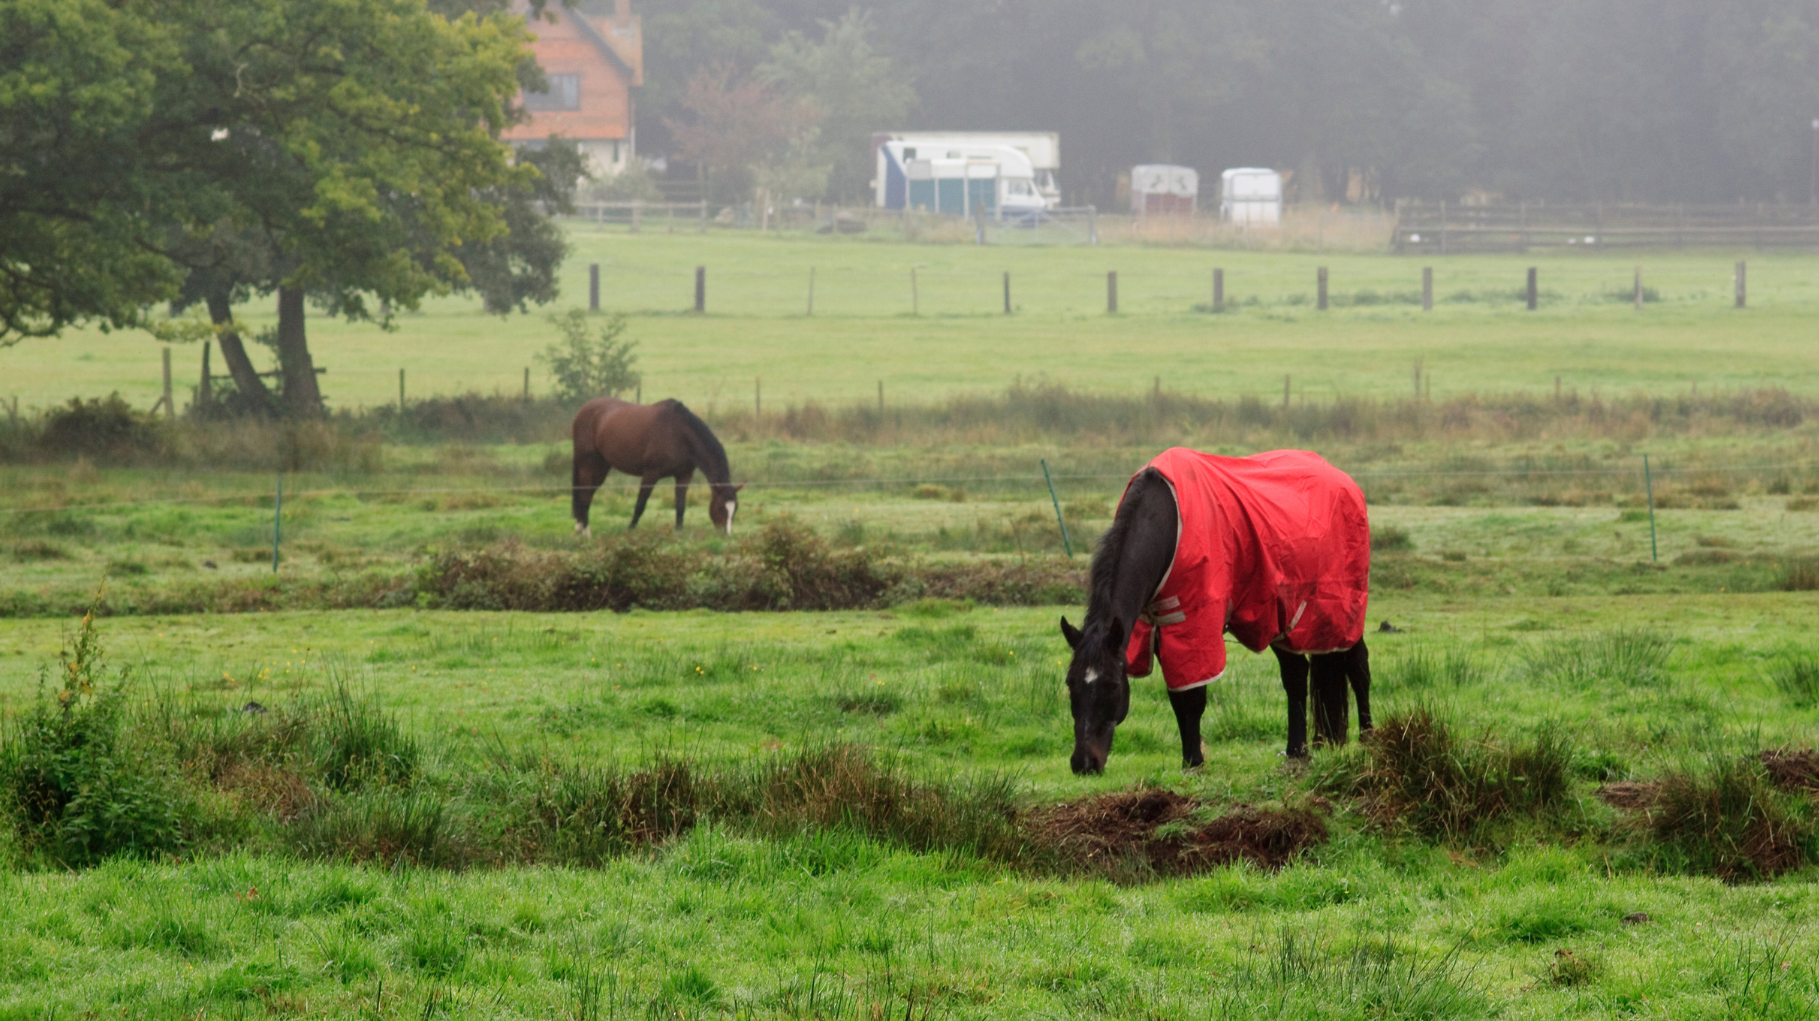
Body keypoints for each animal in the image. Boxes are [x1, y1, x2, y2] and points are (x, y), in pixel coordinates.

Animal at [569, 397, 741, 536]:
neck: (679, 433)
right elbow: (640, 504)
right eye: (721, 508)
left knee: (589, 493)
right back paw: (586, 531)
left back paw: (580, 526)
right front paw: (630, 529)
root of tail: (583, 410)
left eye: (735, 509)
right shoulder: (651, 474)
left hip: (601, 466)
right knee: (585, 494)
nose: (726, 534)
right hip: (587, 464)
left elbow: (680, 505)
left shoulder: (684, 475)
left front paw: (678, 532)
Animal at [1059, 448, 1373, 775]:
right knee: (1296, 675)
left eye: (1111, 685)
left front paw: (1194, 761)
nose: (1084, 763)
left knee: (1358, 666)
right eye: (1070, 684)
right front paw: (1189, 758)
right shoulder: (1161, 623)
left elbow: (1194, 697)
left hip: (1340, 611)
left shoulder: (1196, 623)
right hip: (1285, 618)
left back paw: (1367, 736)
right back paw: (1297, 751)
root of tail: (1346, 482)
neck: (1169, 523)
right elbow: (1178, 695)